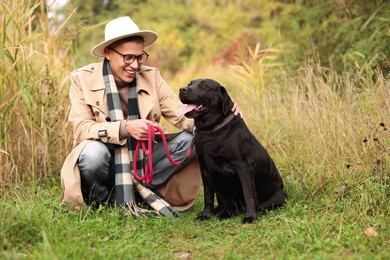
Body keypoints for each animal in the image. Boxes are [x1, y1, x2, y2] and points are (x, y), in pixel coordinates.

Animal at [178, 77, 284, 223]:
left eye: (204, 85)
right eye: (190, 84)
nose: (182, 89)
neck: (211, 131)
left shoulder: (243, 167)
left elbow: (248, 195)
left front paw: (250, 217)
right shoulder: (205, 170)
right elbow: (208, 197)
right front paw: (206, 214)